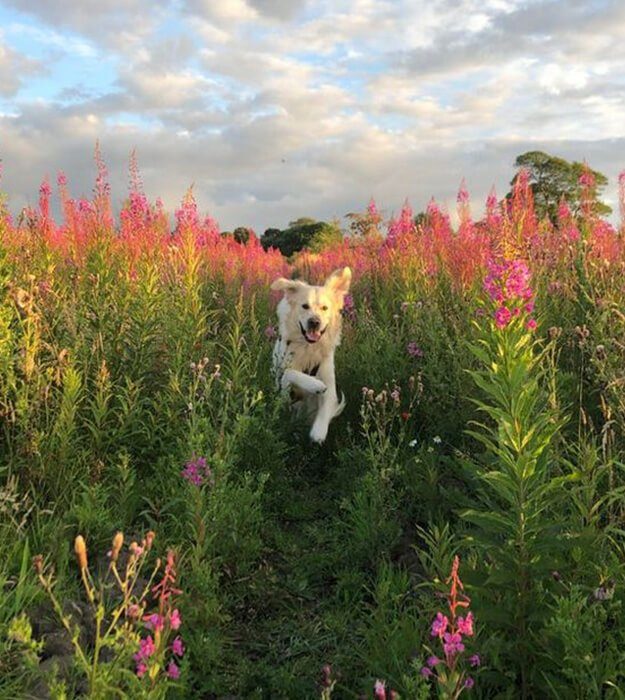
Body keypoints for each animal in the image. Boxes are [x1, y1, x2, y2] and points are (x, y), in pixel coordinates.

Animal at [270, 268, 352, 442]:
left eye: (325, 308)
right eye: (305, 306)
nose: (314, 322)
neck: (308, 347)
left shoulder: (330, 385)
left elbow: (326, 405)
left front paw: (318, 432)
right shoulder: (283, 393)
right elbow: (289, 373)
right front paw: (315, 384)